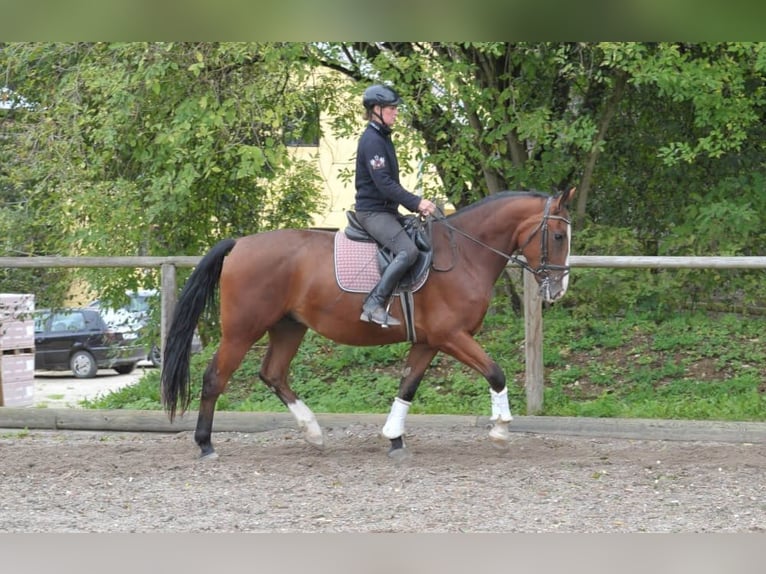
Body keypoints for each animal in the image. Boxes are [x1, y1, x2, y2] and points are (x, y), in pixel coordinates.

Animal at [160, 188, 576, 460]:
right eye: (557, 235)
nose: (557, 290)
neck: (465, 254)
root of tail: (240, 244)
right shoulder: (451, 336)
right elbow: (496, 373)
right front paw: (501, 429)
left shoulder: (428, 341)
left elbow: (407, 385)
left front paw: (394, 438)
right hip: (242, 330)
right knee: (215, 378)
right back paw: (205, 444)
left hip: (289, 326)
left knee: (273, 374)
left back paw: (313, 433)